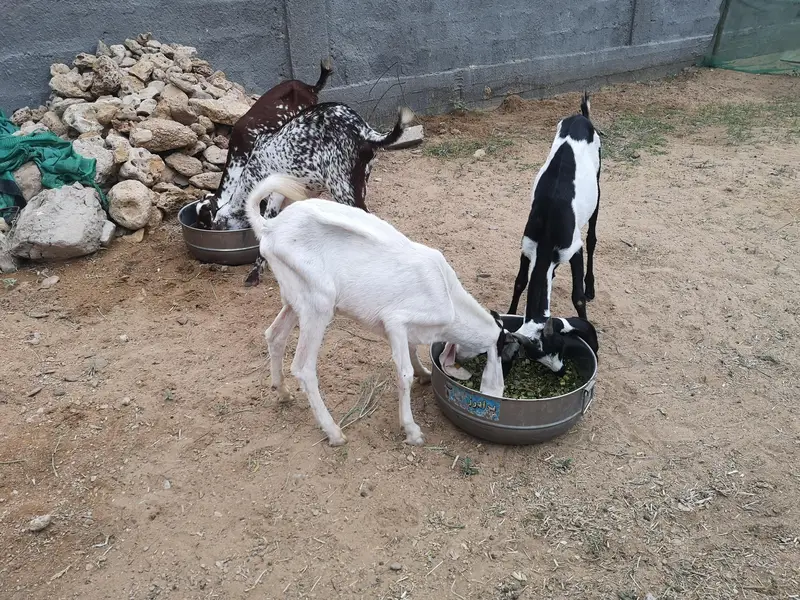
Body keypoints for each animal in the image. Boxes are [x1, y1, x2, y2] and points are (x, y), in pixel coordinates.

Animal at [243, 174, 553, 446]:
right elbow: (403, 373)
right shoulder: (395, 321)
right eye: (510, 355)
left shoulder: (407, 331)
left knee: (274, 335)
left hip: (295, 298)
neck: (450, 301)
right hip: (318, 305)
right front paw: (412, 430)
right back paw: (334, 432)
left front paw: (425, 375)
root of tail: (269, 228)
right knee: (304, 367)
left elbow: (414, 352)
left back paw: (282, 392)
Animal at [508, 91, 601, 329]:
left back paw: (590, 287)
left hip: (598, 187)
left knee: (592, 238)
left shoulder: (573, 249)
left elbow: (577, 297)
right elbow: (520, 282)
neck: (548, 227)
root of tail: (581, 117)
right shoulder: (527, 246)